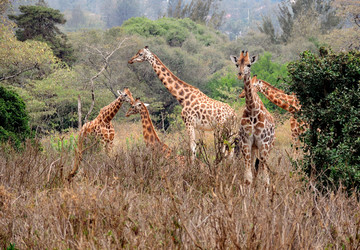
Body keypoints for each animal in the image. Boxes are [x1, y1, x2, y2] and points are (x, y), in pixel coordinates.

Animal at [231, 50, 276, 185]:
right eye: (237, 64)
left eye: (249, 64)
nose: (240, 74)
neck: (252, 111)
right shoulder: (246, 143)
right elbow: (248, 177)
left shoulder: (263, 143)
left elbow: (266, 179)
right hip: (254, 148)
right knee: (255, 169)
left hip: (268, 147)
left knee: (262, 169)